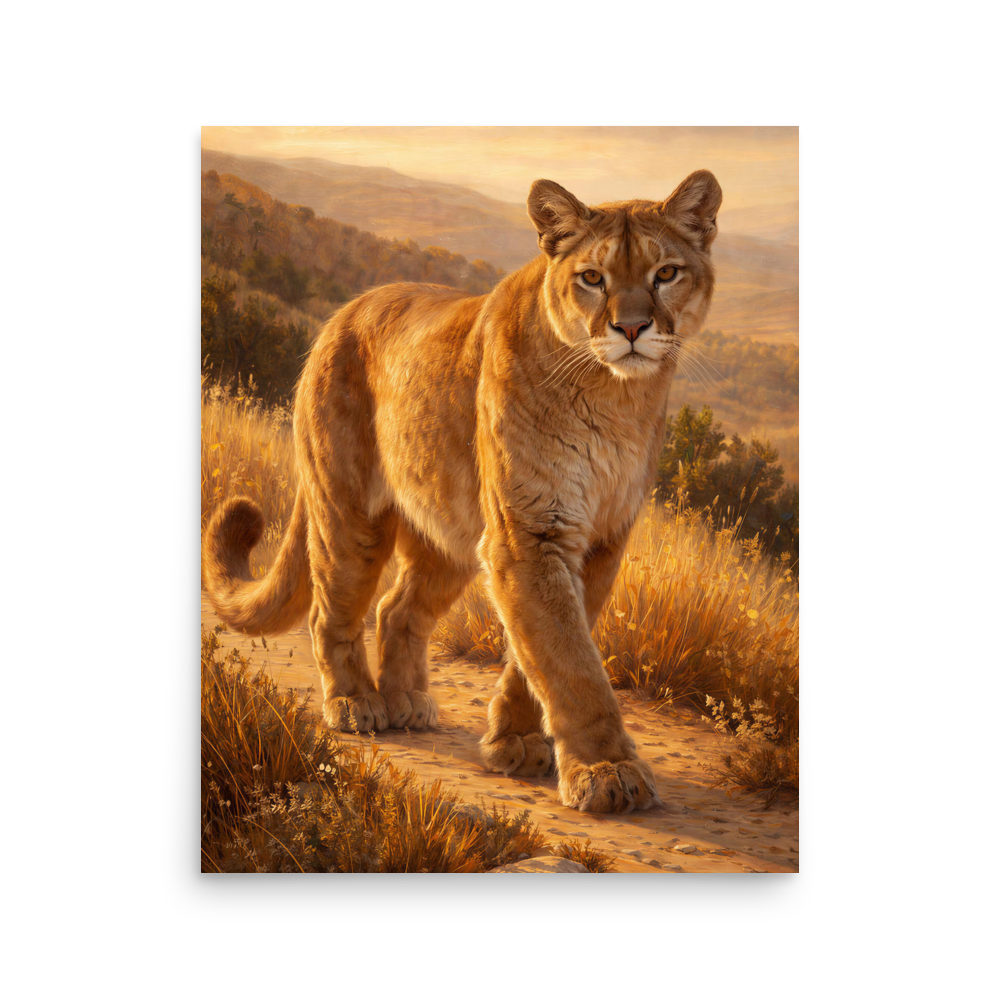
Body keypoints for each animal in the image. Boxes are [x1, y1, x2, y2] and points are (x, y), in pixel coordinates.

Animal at [203, 170, 722, 814]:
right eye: (592, 278)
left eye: (666, 273)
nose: (630, 328)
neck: (617, 397)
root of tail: (342, 313)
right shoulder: (531, 532)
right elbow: (571, 662)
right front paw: (608, 771)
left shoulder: (598, 539)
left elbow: (542, 651)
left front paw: (517, 743)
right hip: (350, 515)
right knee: (334, 610)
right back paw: (355, 704)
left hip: (446, 533)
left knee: (398, 609)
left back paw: (407, 703)